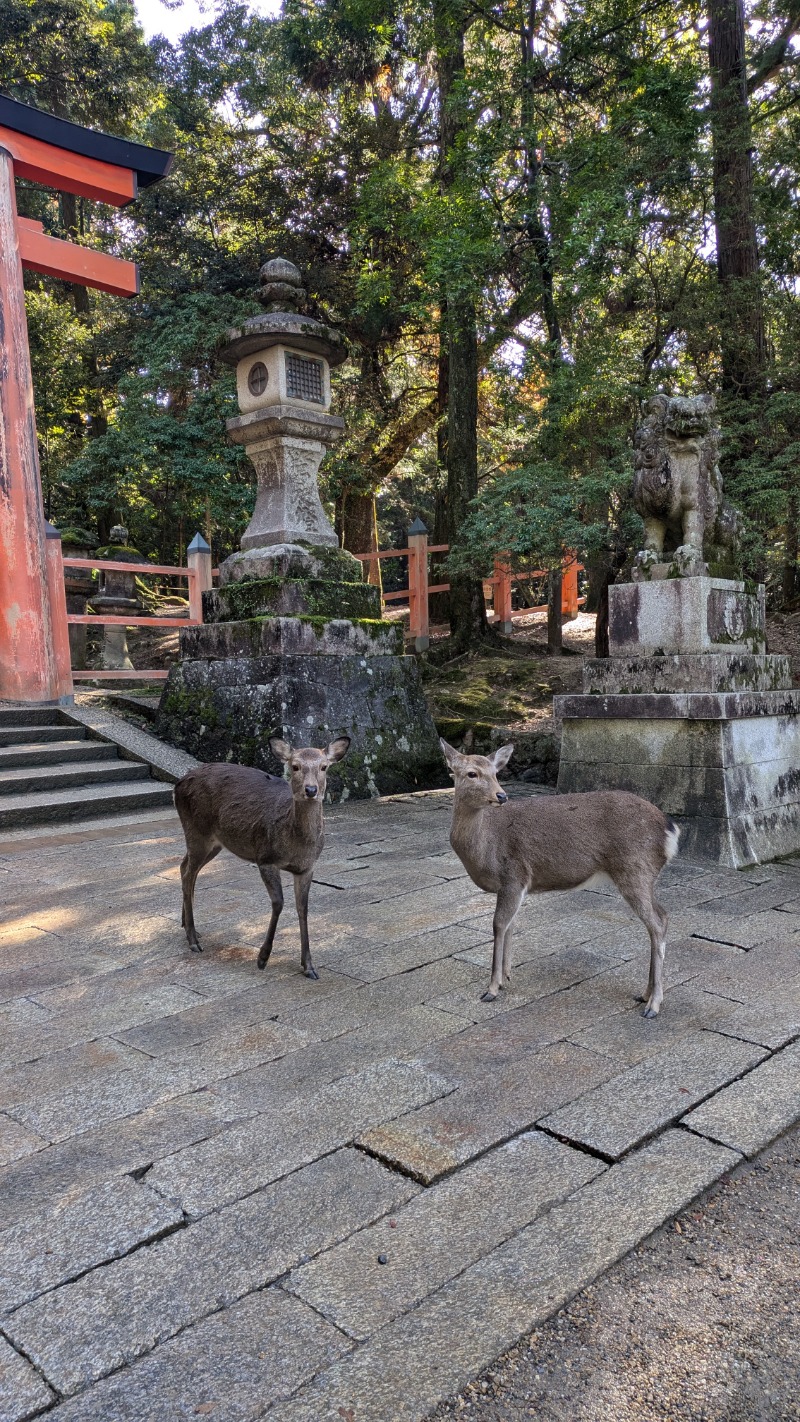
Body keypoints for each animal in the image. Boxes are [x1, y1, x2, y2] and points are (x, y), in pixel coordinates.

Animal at [174, 733, 349, 978]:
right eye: (295, 766)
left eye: (324, 767)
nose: (311, 790)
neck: (296, 844)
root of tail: (178, 783)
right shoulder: (265, 858)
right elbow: (278, 903)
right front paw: (262, 958)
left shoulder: (307, 868)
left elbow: (303, 908)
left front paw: (309, 966)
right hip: (197, 830)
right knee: (188, 873)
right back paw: (192, 938)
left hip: (214, 843)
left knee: (185, 867)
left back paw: (188, 927)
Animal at [440, 739, 679, 1018]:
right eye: (472, 773)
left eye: (496, 773)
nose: (502, 796)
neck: (485, 847)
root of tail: (670, 830)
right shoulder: (514, 887)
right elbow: (511, 925)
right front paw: (506, 977)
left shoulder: (514, 874)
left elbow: (498, 925)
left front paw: (491, 989)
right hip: (646, 876)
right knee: (663, 915)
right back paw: (645, 995)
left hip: (634, 869)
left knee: (656, 923)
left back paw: (654, 1004)